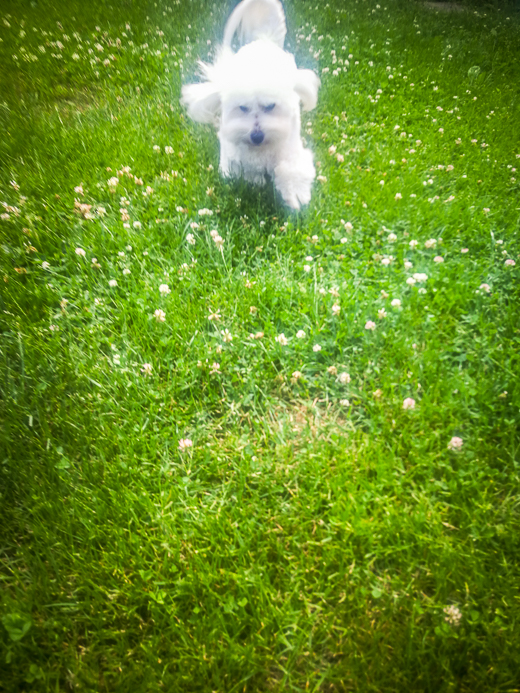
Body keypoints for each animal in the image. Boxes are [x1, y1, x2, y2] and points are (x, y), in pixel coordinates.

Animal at [181, 0, 318, 208]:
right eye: (243, 108)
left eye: (270, 106)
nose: (257, 136)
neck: (261, 149)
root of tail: (262, 39)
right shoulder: (235, 154)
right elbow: (248, 172)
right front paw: (255, 181)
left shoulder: (291, 150)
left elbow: (290, 168)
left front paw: (294, 194)